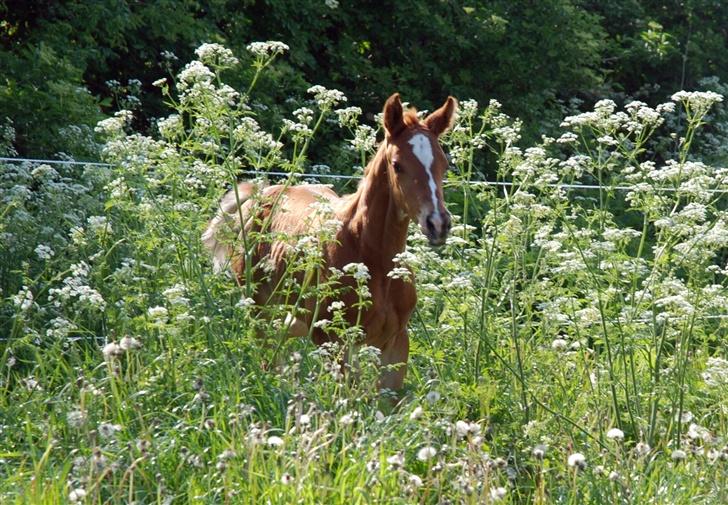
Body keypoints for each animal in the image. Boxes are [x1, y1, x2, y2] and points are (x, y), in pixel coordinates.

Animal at [203, 91, 456, 390]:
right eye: (397, 165)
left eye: (443, 164)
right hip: (260, 313)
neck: (372, 257)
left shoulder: (395, 343)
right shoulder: (332, 339)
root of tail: (261, 194)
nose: (437, 223)